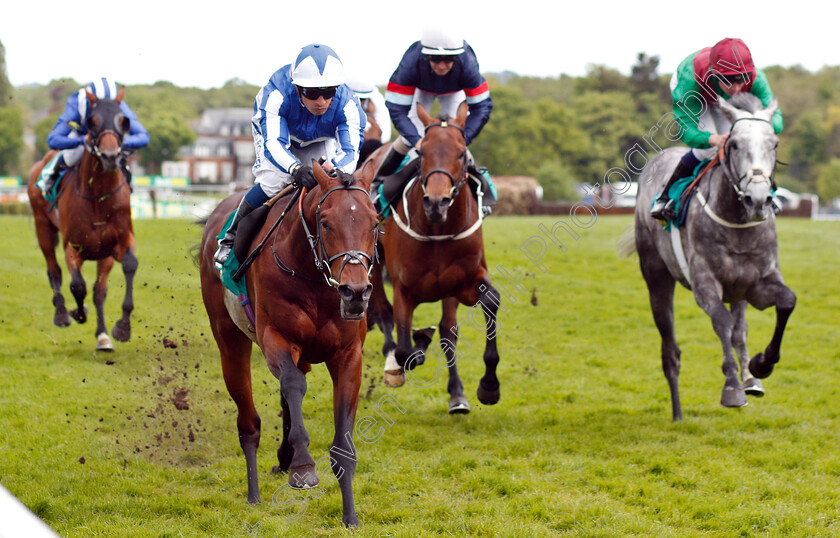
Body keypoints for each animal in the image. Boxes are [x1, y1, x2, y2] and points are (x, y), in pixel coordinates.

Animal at [27, 87, 138, 352]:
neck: (97, 196)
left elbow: (125, 269)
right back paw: (61, 313)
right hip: (42, 225)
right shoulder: (73, 247)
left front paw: (120, 328)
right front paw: (78, 312)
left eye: (124, 121)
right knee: (53, 270)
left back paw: (102, 335)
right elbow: (77, 286)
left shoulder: (118, 243)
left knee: (98, 290)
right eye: (92, 121)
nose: (110, 156)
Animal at [199, 162, 376, 524]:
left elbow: (343, 444)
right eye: (326, 222)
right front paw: (303, 466)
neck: (315, 280)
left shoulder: (348, 354)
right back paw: (254, 494)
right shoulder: (275, 339)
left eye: (375, 223)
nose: (355, 292)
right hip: (230, 342)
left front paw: (350, 516)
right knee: (249, 423)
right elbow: (293, 384)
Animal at [360, 103, 498, 414]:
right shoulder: (404, 289)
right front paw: (412, 350)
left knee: (447, 331)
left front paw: (486, 387)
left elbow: (484, 306)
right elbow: (403, 347)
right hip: (373, 261)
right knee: (383, 313)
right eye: (422, 152)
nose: (437, 203)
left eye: (462, 152)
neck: (437, 229)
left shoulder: (463, 282)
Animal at [628, 92, 796, 418]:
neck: (738, 223)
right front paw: (731, 388)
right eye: (734, 144)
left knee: (740, 329)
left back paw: (750, 378)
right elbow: (721, 322)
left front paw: (761, 364)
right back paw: (678, 415)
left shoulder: (759, 282)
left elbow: (786, 301)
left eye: (774, 144)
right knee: (670, 351)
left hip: (739, 290)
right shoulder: (704, 283)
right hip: (656, 277)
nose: (758, 199)